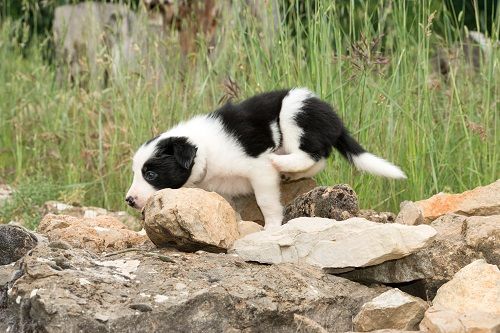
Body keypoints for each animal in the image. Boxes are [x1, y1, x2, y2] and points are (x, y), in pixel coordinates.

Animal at [126, 87, 406, 228]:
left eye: (151, 174)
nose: (128, 200)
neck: (204, 150)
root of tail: (335, 120)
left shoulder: (257, 171)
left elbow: (267, 203)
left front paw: (271, 228)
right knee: (320, 159)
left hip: (292, 113)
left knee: (312, 153)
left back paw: (282, 162)